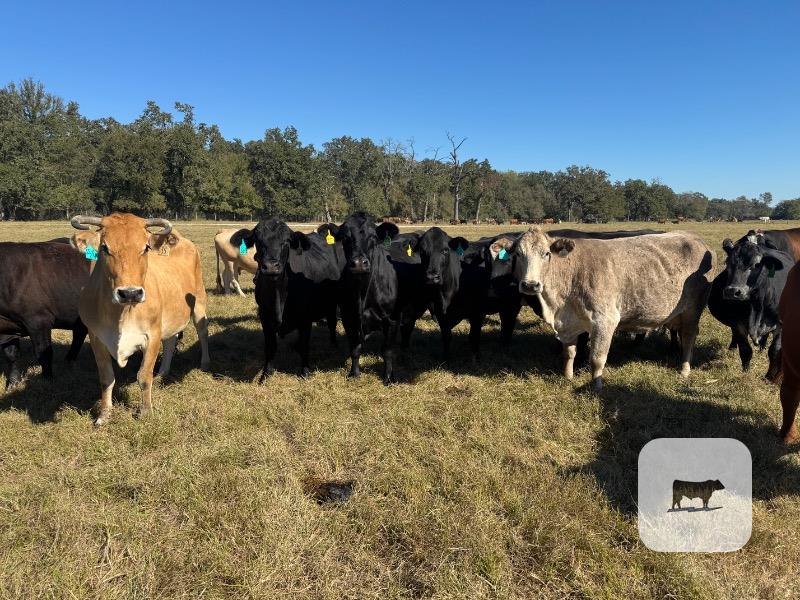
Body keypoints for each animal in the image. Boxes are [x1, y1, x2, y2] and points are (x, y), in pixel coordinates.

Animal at [0, 242, 90, 388]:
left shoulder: (39, 320)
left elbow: (44, 353)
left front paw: (47, 379)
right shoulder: (7, 327)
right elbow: (11, 355)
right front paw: (13, 383)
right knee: (80, 333)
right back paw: (69, 360)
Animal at [70, 213, 210, 425]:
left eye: (145, 248)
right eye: (104, 248)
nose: (130, 293)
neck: (120, 314)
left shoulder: (152, 335)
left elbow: (143, 375)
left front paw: (145, 411)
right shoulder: (96, 337)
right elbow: (106, 378)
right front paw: (104, 414)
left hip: (199, 301)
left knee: (202, 332)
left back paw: (204, 362)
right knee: (170, 341)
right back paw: (162, 373)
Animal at [231, 219, 343, 381]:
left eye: (286, 242)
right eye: (258, 240)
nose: (271, 267)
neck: (279, 297)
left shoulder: (305, 317)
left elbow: (305, 345)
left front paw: (305, 372)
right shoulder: (264, 316)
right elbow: (270, 347)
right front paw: (266, 374)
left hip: (332, 302)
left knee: (332, 322)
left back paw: (333, 344)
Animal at [511, 227, 714, 390]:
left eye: (546, 253)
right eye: (518, 254)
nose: (530, 285)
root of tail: (696, 239)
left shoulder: (604, 320)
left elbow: (597, 359)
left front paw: (596, 386)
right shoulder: (569, 323)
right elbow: (569, 353)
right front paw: (568, 377)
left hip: (693, 309)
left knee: (688, 336)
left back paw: (684, 370)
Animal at [708, 235, 792, 380]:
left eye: (756, 265)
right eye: (728, 263)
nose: (732, 291)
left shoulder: (781, 324)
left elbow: (774, 351)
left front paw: (769, 377)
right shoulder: (737, 323)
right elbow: (745, 350)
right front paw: (745, 372)